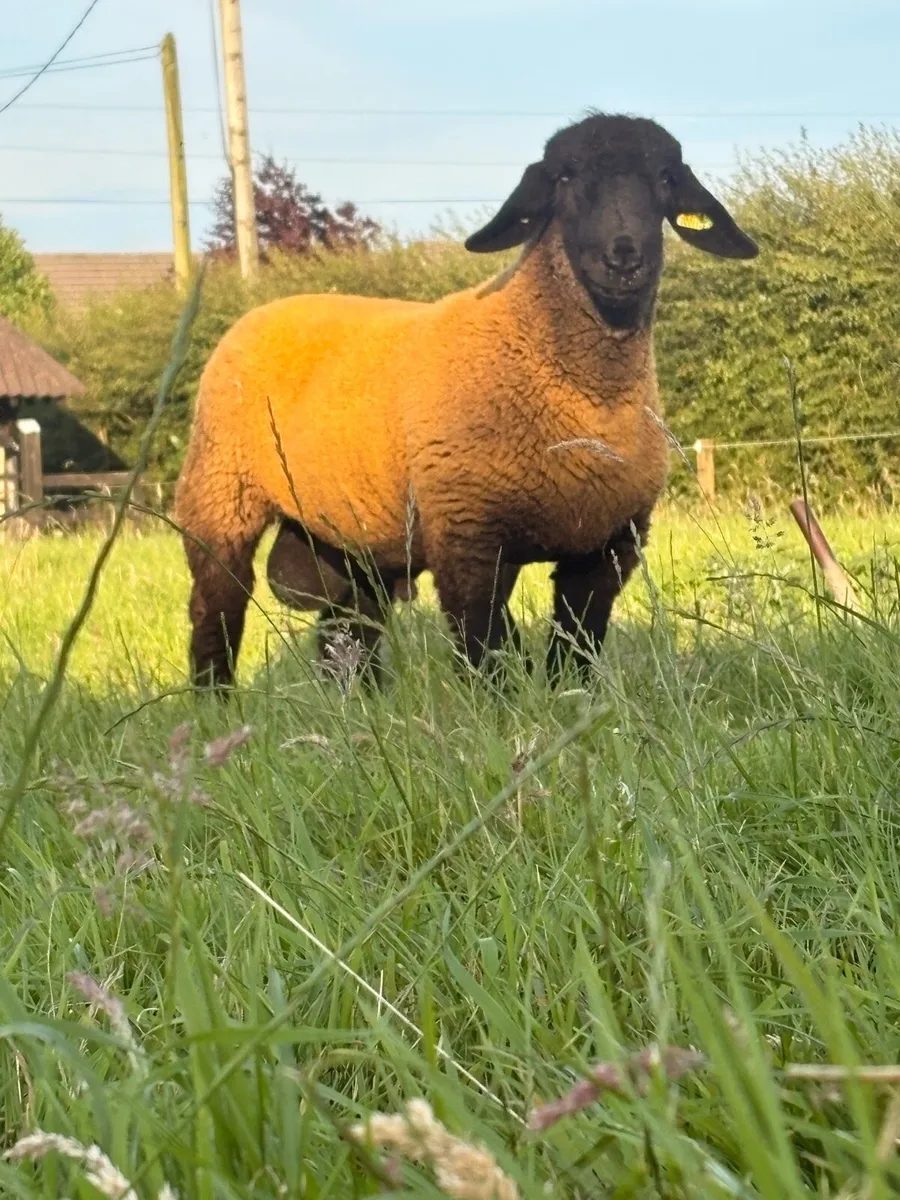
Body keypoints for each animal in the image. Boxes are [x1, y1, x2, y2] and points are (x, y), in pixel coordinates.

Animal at [174, 112, 757, 690]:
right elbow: (486, 652)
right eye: (563, 178)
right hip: (220, 497)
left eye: (665, 178)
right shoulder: (467, 536)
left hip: (355, 536)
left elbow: (575, 650)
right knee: (216, 613)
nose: (623, 256)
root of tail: (262, 310)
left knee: (348, 632)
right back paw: (215, 705)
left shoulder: (607, 547)